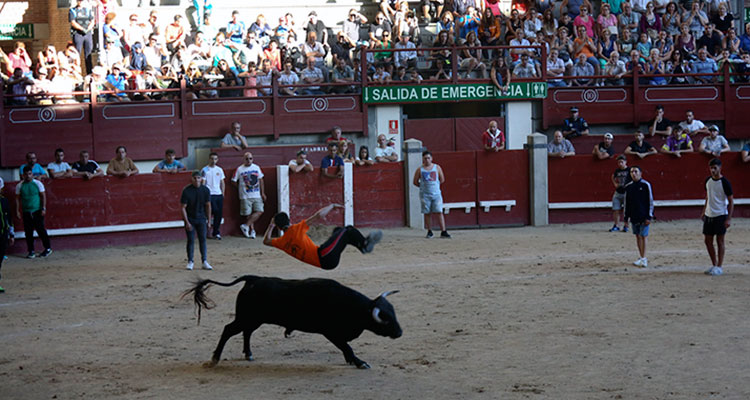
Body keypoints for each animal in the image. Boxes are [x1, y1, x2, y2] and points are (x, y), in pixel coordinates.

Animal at [183, 276, 406, 368]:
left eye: (394, 314)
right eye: (385, 320)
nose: (400, 333)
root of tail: (252, 279)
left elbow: (346, 349)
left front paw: (353, 361)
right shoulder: (331, 333)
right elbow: (347, 347)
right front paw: (359, 362)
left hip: (254, 320)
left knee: (247, 332)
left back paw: (249, 354)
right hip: (245, 318)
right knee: (228, 330)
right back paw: (214, 359)